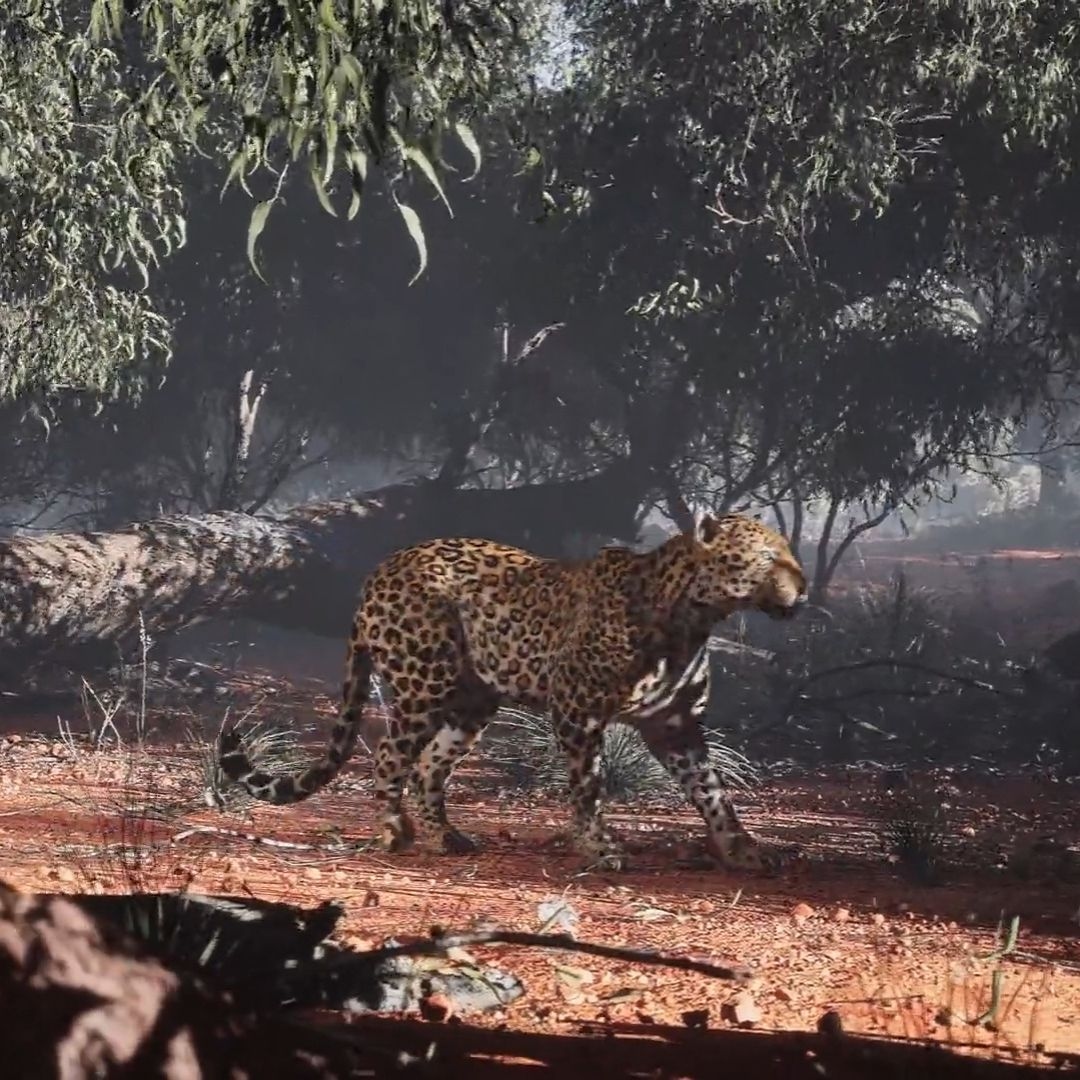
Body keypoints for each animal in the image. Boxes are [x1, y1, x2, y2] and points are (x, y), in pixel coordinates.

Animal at [218, 513, 807, 870]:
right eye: (768, 556)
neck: (692, 620)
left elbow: (712, 791)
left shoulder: (676, 725)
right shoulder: (577, 709)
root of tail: (378, 571)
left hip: (472, 702)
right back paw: (395, 831)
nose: (803, 590)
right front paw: (598, 846)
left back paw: (447, 836)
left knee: (429, 765)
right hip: (422, 684)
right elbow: (588, 787)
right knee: (389, 756)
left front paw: (742, 849)